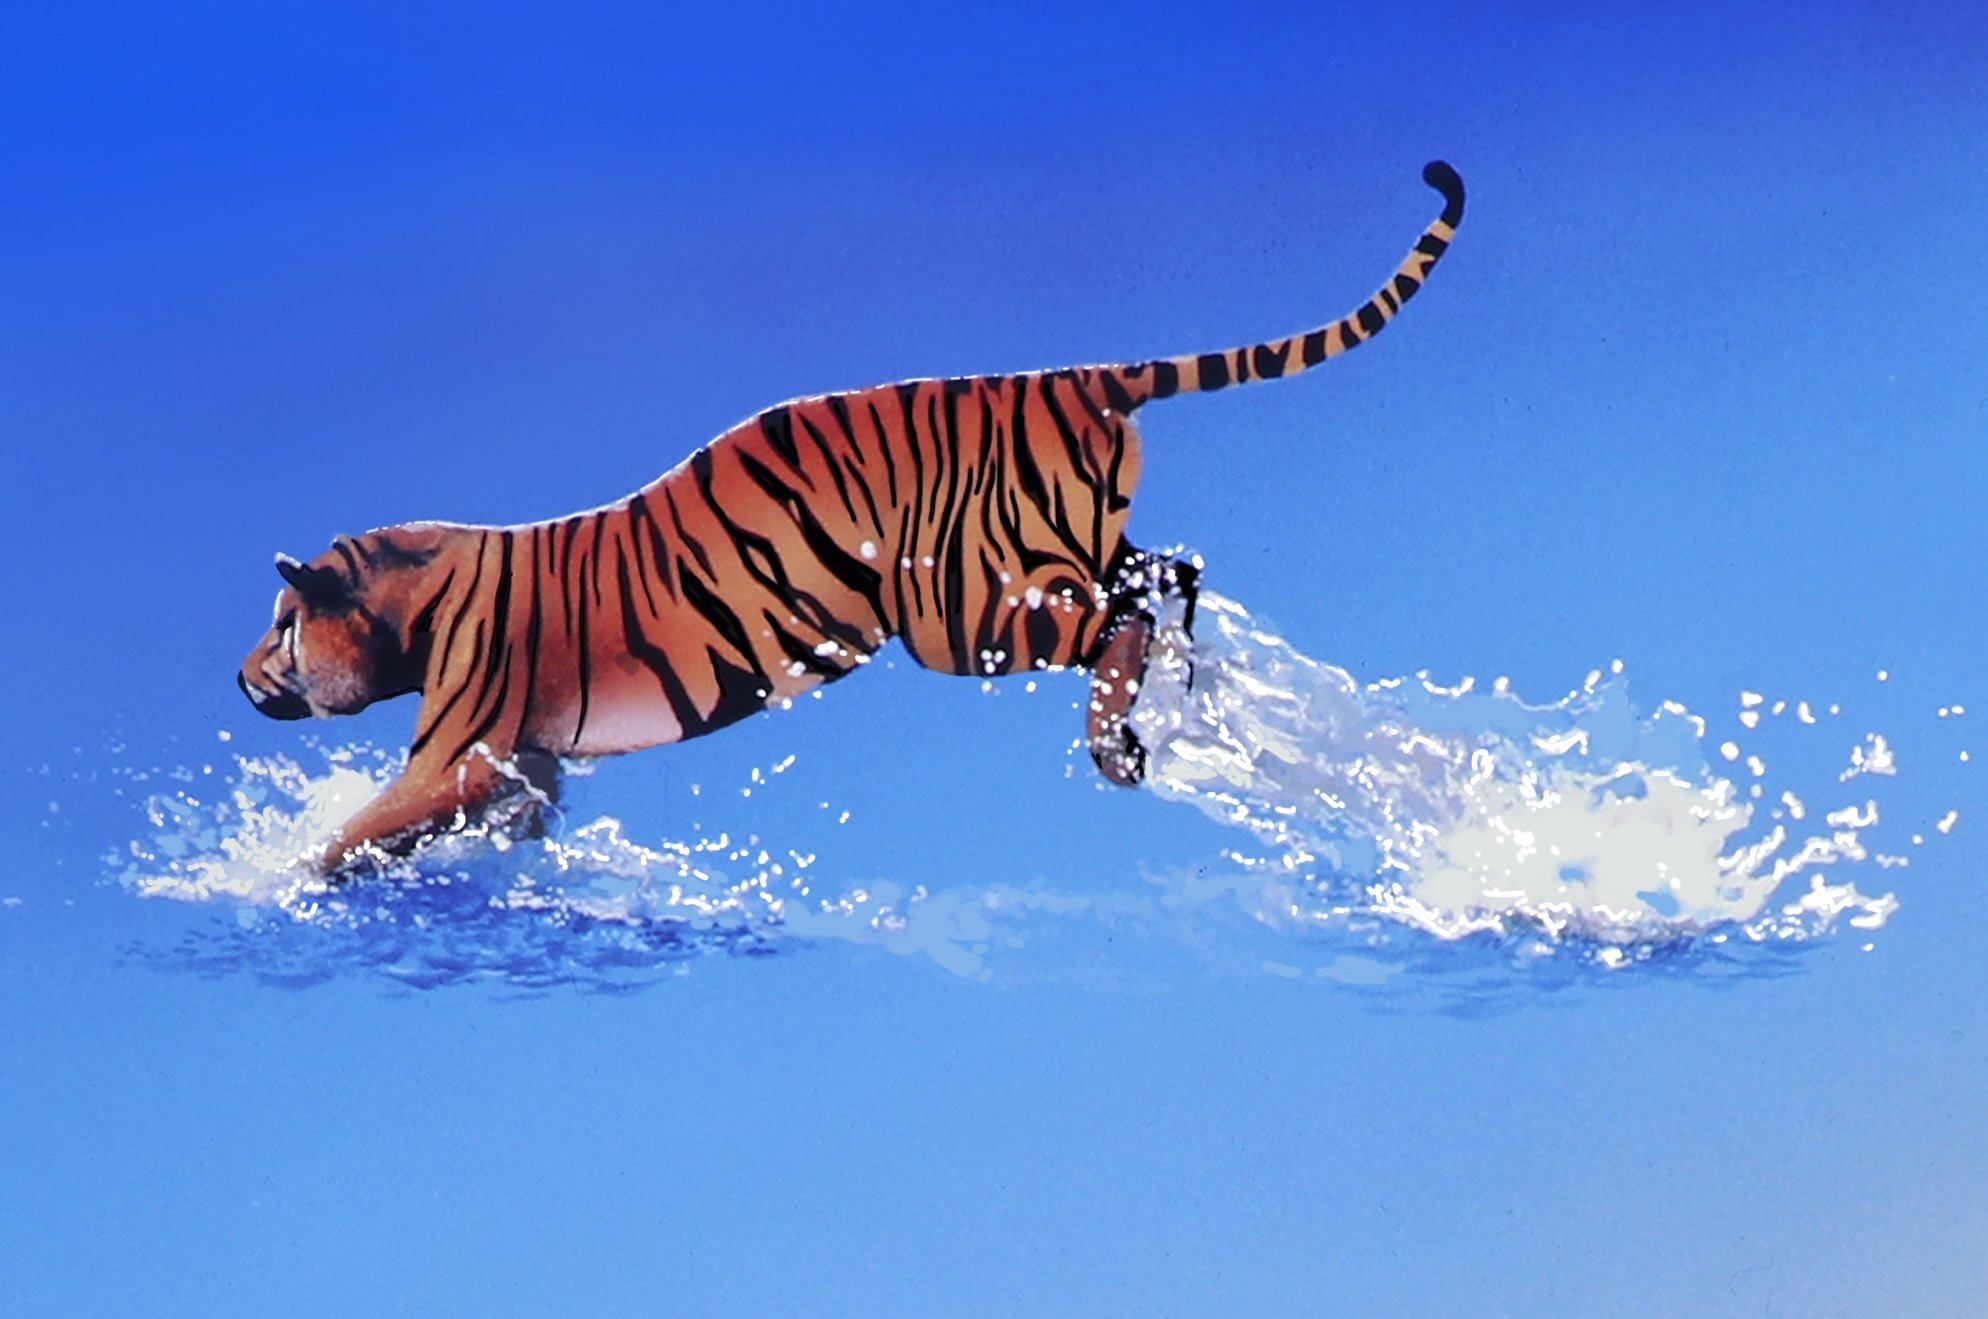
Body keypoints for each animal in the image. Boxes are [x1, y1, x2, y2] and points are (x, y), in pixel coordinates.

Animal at [239, 161, 1465, 877]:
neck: (407, 608)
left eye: (284, 626)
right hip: (1061, 555)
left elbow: (355, 827)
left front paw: (282, 879)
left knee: (1119, 620)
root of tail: (1076, 377)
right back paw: (1174, 696)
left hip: (964, 609)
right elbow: (478, 823)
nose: (244, 677)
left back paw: (1114, 744)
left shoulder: (465, 747)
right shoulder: (521, 760)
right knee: (1172, 575)